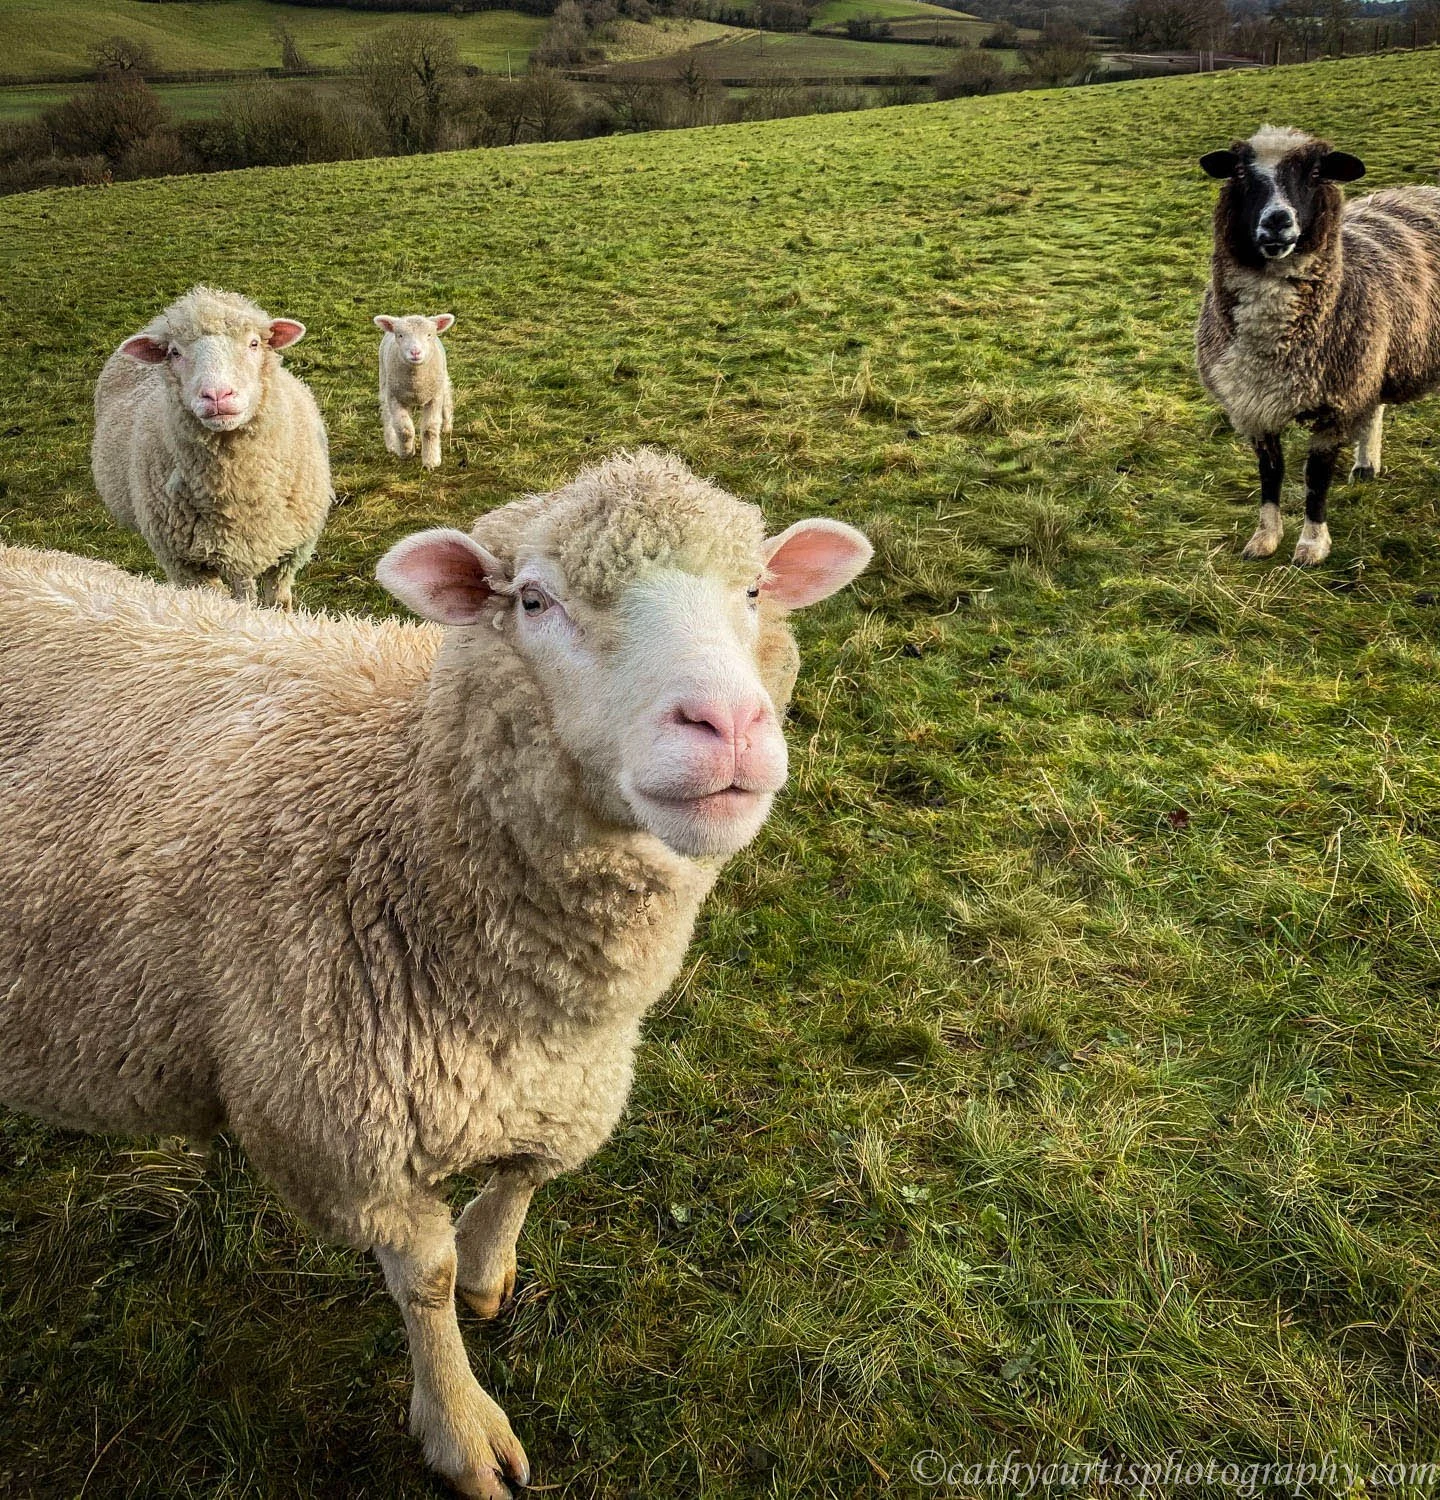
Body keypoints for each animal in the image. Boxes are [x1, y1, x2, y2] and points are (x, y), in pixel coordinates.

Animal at [0, 449, 872, 1500]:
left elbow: (526, 1174)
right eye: (533, 600)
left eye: (752, 590)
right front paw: (459, 1425)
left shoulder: (561, 1077)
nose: (730, 723)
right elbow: (425, 1283)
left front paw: (492, 1263)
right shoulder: (351, 1142)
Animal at [93, 285, 333, 607]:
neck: (237, 493)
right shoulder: (188, 565)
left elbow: (277, 601)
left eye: (254, 343)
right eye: (174, 352)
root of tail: (148, 326)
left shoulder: (289, 553)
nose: (217, 395)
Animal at [375, 312, 455, 469]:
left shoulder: (434, 397)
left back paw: (447, 425)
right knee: (387, 414)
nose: (415, 352)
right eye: (400, 335)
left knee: (447, 398)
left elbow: (429, 429)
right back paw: (391, 444)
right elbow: (404, 429)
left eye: (429, 335)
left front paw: (431, 460)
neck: (416, 384)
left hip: (441, 380)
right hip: (385, 383)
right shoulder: (395, 397)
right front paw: (406, 452)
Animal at [1196, 125, 1440, 567]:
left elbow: (1315, 477)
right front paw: (1265, 538)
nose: (1277, 220)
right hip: (1370, 355)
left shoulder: (1335, 402)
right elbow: (1271, 473)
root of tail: (1427, 188)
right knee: (1374, 404)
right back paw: (1366, 466)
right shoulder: (1255, 404)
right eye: (1239, 172)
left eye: (1314, 173)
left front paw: (1311, 545)